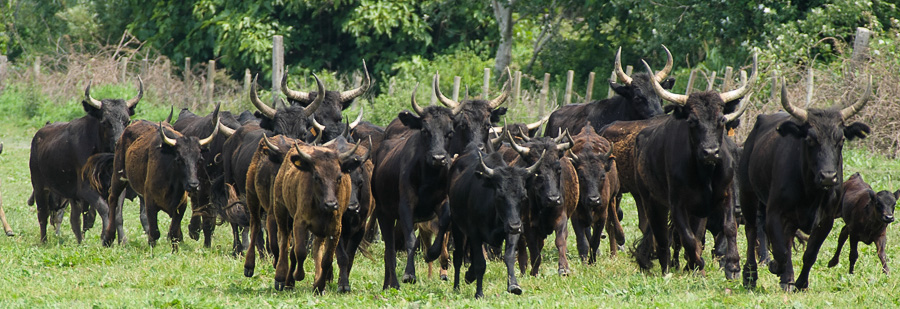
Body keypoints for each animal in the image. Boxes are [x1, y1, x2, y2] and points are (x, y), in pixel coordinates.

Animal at [270, 141, 366, 292]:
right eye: (316, 177)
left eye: (339, 177)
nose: (331, 204)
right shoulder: (299, 222)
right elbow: (300, 252)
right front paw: (298, 275)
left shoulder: (335, 229)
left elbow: (327, 259)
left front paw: (319, 286)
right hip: (280, 209)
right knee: (284, 240)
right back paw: (281, 278)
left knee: (316, 248)